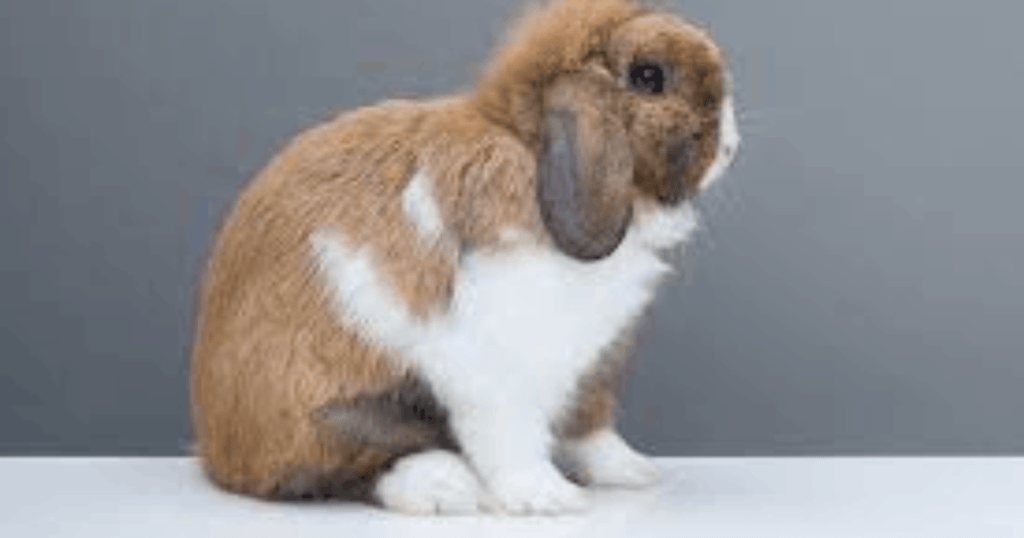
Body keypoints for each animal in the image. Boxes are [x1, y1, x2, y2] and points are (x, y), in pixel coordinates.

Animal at [189, 0, 740, 516]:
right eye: (649, 77)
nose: (732, 144)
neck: (528, 151)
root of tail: (217, 450)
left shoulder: (591, 365)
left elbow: (590, 426)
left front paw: (632, 471)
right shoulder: (498, 363)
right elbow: (511, 435)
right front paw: (547, 498)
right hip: (325, 412)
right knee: (332, 471)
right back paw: (443, 487)